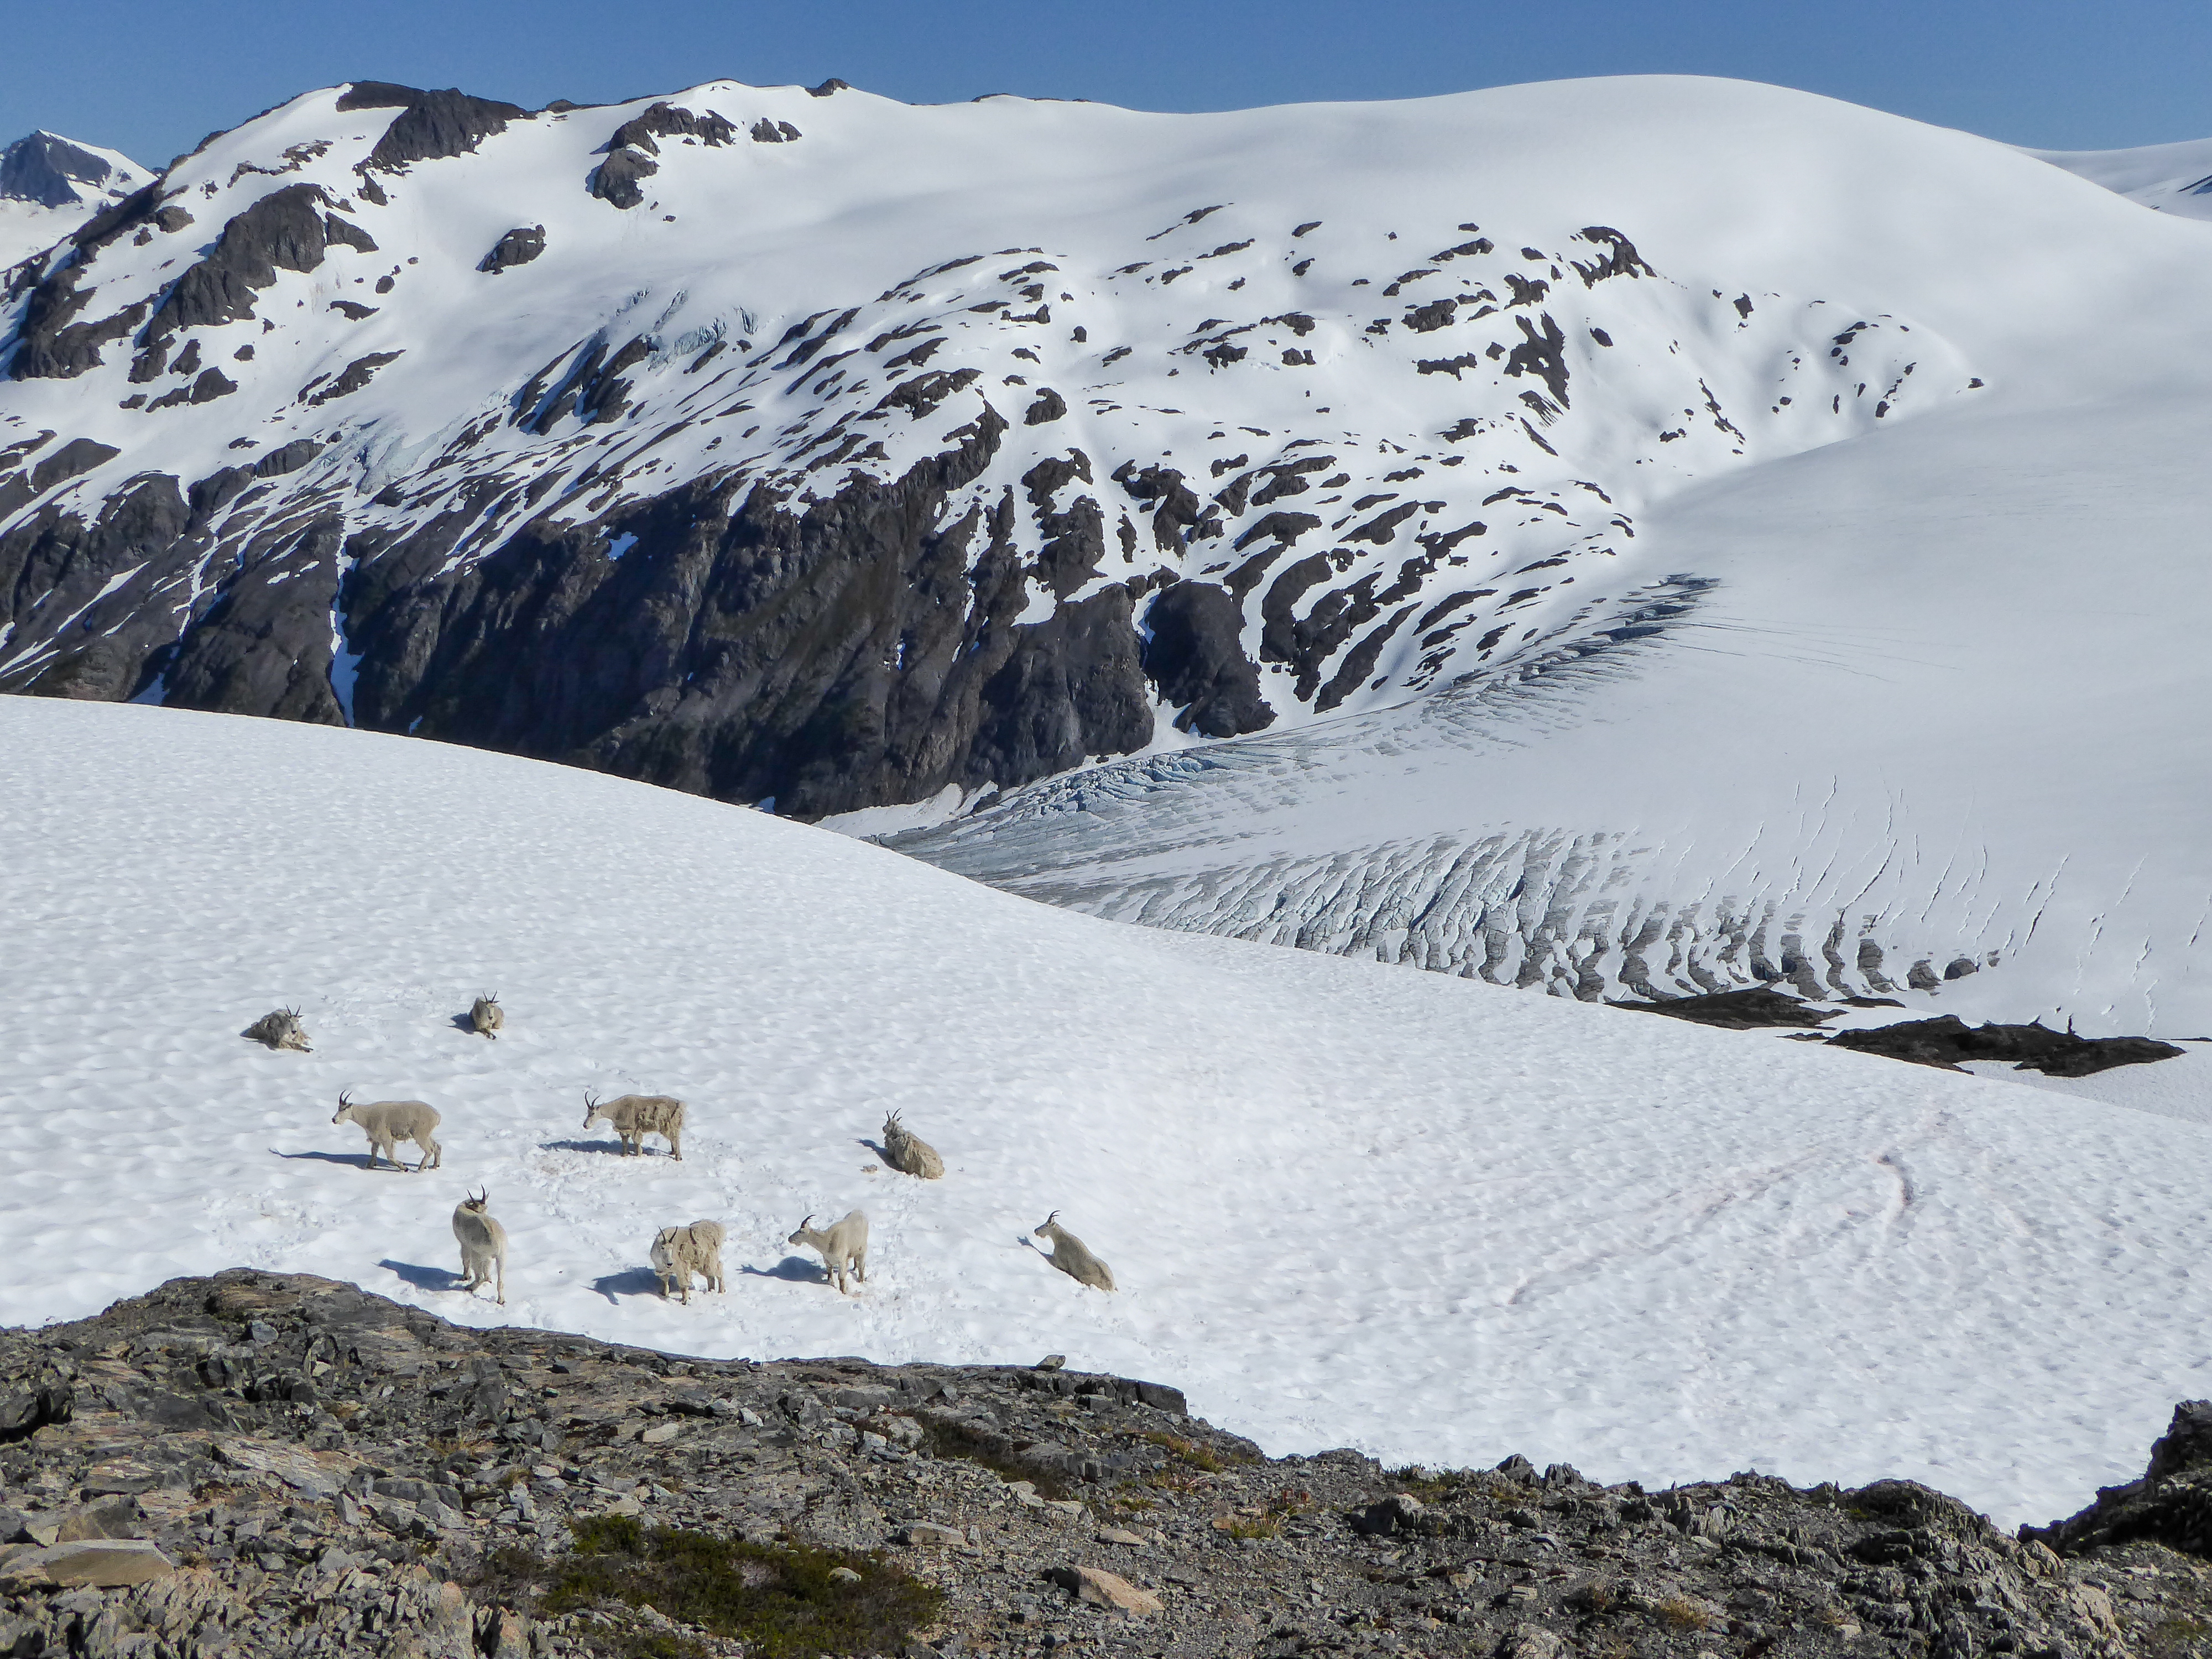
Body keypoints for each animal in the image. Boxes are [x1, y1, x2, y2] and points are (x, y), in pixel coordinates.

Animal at [331, 1090, 443, 1172]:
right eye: (339, 1108)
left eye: (344, 1109)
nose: (334, 1120)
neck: (366, 1117)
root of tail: (437, 1116)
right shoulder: (376, 1139)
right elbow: (374, 1152)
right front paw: (370, 1166)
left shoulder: (386, 1138)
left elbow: (390, 1157)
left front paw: (404, 1168)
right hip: (427, 1134)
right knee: (437, 1146)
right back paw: (435, 1166)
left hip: (420, 1134)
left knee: (429, 1149)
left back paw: (420, 1169)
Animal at [452, 1188, 507, 1304]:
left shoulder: (465, 1245)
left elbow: (465, 1260)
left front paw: (466, 1277)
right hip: (502, 1256)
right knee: (498, 1280)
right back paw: (501, 1301)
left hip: (479, 1255)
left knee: (481, 1277)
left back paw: (469, 1287)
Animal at [581, 1090, 685, 1159]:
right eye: (587, 1112)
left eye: (593, 1113)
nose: (585, 1125)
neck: (615, 1110)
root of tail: (679, 1105)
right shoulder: (624, 1129)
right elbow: (625, 1143)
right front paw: (624, 1155)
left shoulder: (634, 1128)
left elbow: (637, 1142)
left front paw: (638, 1155)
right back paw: (672, 1153)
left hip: (667, 1125)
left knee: (675, 1139)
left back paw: (678, 1157)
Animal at [650, 1220, 727, 1304]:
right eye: (662, 1247)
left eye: (672, 1248)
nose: (670, 1263)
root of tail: (716, 1228)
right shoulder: (663, 1270)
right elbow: (665, 1281)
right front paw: (664, 1294)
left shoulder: (682, 1268)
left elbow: (684, 1284)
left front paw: (684, 1301)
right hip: (702, 1263)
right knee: (710, 1275)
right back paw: (710, 1291)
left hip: (709, 1259)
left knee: (719, 1268)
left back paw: (721, 1291)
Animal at [787, 1211, 869, 1294]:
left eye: (801, 1232)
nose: (790, 1239)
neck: (828, 1242)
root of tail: (860, 1212)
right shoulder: (828, 1261)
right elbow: (830, 1275)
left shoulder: (842, 1262)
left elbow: (841, 1278)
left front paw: (843, 1292)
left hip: (863, 1249)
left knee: (861, 1266)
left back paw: (861, 1280)